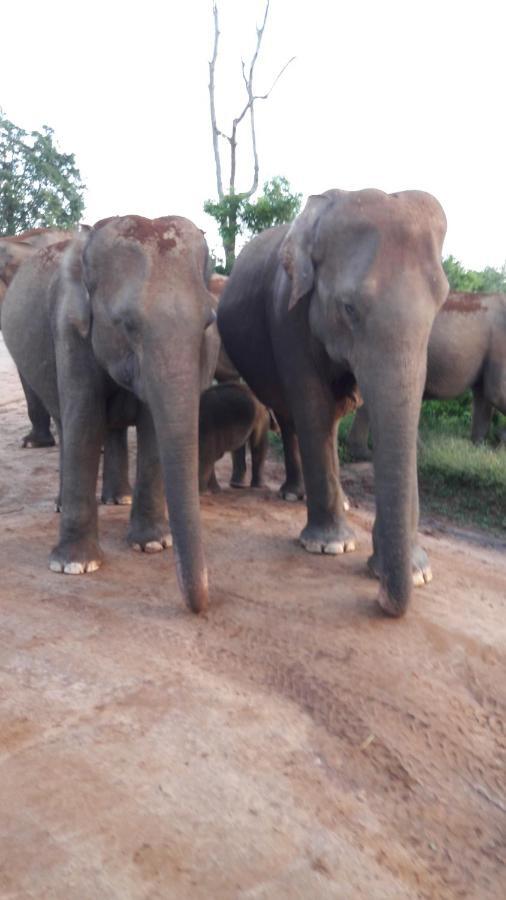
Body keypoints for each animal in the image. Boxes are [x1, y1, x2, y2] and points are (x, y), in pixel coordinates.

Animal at [1, 214, 219, 616]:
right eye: (127, 324)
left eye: (208, 322)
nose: (200, 608)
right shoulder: (68, 328)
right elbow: (85, 421)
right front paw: (73, 565)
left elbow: (151, 428)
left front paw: (152, 544)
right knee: (68, 425)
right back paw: (65, 505)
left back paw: (118, 499)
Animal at [219, 186, 448, 616]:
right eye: (349, 308)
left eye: (441, 304)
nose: (382, 597)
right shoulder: (286, 314)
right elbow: (313, 408)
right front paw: (329, 547)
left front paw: (418, 573)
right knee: (294, 419)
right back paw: (297, 496)